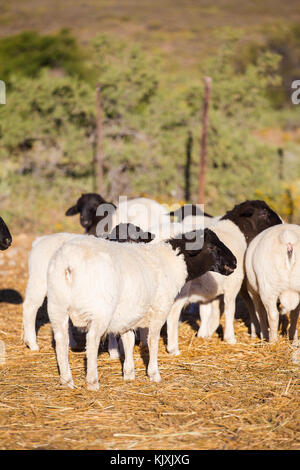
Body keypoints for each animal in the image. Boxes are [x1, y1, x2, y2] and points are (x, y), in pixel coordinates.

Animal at [21, 225, 155, 352]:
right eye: (115, 237)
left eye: (136, 238)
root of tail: (40, 240)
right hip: (38, 281)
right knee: (30, 307)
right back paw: (32, 343)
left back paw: (71, 343)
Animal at [45, 229, 236, 390]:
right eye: (211, 246)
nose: (234, 262)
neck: (172, 261)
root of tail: (69, 265)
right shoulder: (160, 310)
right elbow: (152, 341)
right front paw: (154, 374)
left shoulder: (129, 315)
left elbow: (128, 341)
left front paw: (129, 374)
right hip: (99, 310)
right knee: (91, 341)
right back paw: (92, 382)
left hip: (56, 306)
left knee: (61, 341)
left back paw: (67, 381)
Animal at [166, 198, 284, 352]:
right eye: (264, 213)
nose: (281, 224)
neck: (237, 233)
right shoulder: (232, 284)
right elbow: (229, 309)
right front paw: (230, 338)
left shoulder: (209, 292)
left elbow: (208, 313)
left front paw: (204, 335)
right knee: (172, 316)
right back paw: (173, 348)